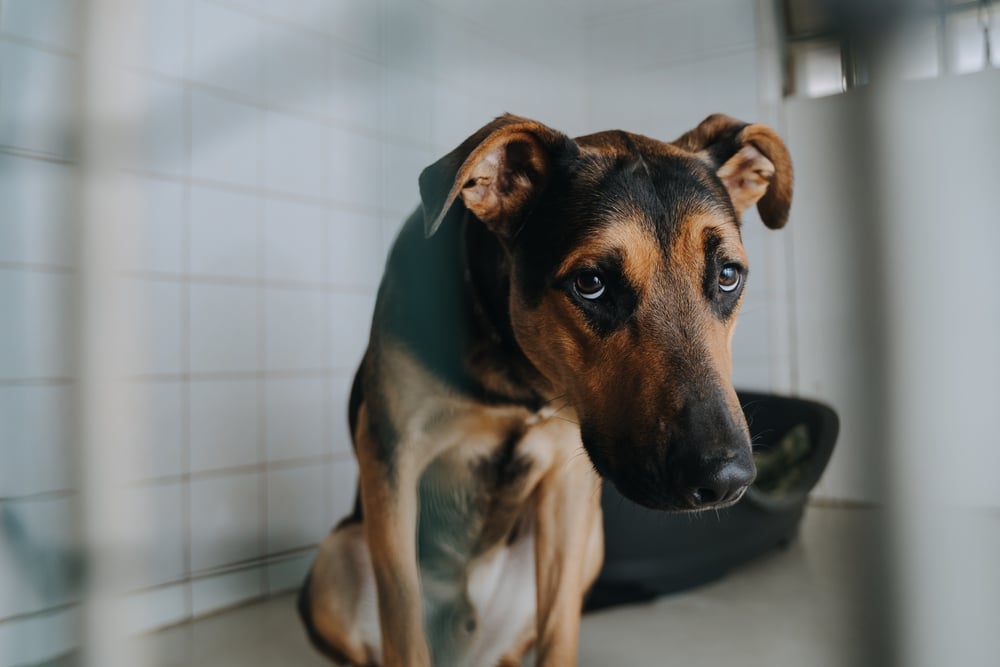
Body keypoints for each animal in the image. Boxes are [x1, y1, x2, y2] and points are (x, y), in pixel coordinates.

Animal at [298, 112, 796, 664]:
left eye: (728, 275)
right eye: (591, 283)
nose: (725, 479)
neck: (518, 368)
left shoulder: (568, 484)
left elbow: (558, 628)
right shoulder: (392, 457)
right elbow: (403, 628)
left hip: (588, 543)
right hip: (336, 560)